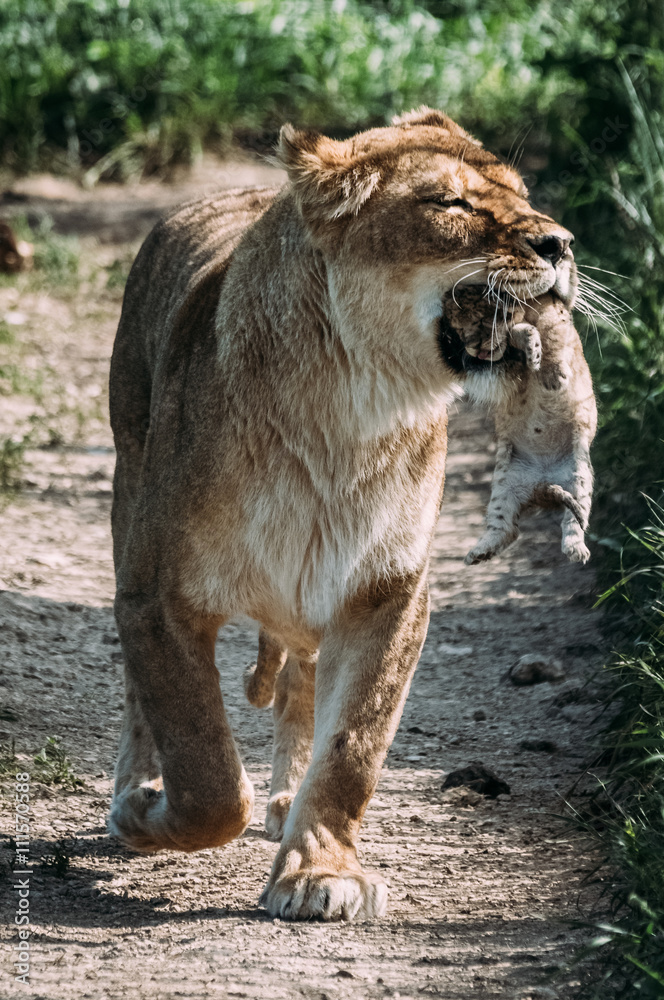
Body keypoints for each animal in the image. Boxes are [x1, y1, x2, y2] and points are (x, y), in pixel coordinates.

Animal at [108, 107, 584, 922]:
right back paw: (135, 789)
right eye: (448, 203)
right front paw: (152, 815)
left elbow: (352, 748)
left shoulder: (387, 594)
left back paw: (282, 801)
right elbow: (204, 765)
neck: (352, 410)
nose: (561, 243)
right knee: (145, 697)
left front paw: (319, 870)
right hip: (123, 495)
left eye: (523, 195)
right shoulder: (158, 596)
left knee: (300, 681)